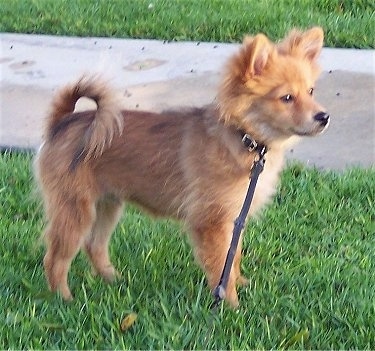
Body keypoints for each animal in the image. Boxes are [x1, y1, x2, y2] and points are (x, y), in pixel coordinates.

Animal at [35, 27, 328, 308]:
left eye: (311, 91)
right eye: (286, 98)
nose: (324, 117)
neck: (245, 139)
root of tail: (62, 123)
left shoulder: (234, 218)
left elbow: (233, 257)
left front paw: (239, 283)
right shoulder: (210, 222)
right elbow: (220, 265)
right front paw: (231, 305)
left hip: (108, 204)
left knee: (94, 245)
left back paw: (112, 280)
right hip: (74, 209)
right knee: (55, 258)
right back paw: (64, 299)